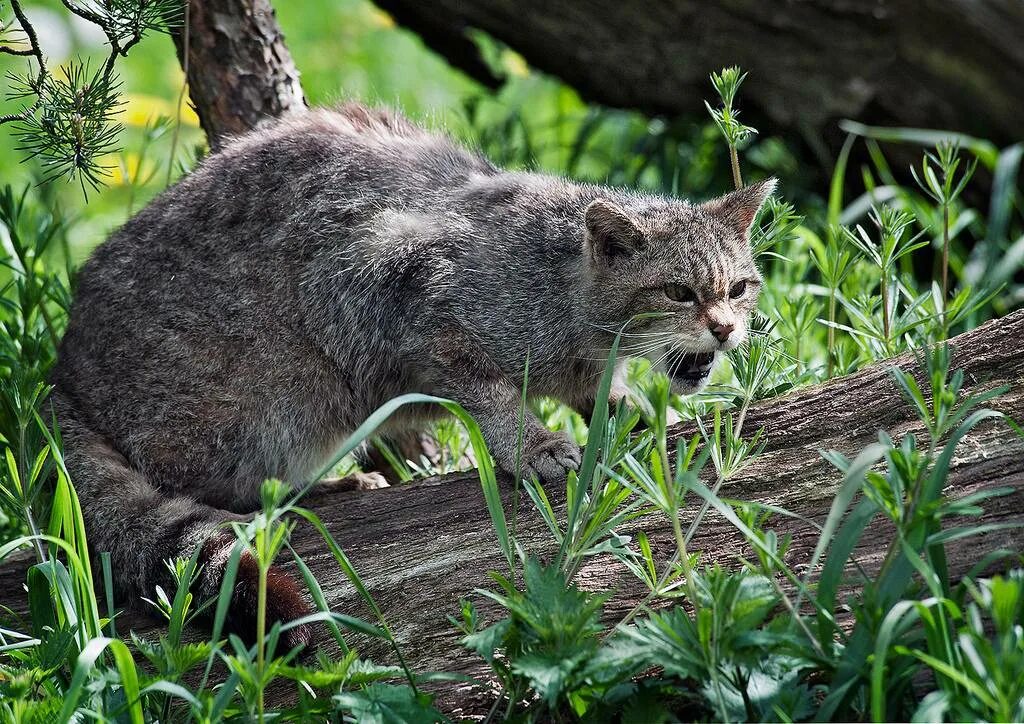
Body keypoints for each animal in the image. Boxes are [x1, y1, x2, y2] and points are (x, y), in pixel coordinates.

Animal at [49, 101, 770, 639]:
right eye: (678, 292)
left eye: (739, 288)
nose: (725, 328)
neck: (569, 302)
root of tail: (61, 374)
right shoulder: (399, 292)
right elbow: (490, 396)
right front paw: (533, 443)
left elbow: (597, 391)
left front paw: (626, 408)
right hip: (291, 394)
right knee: (218, 487)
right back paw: (319, 487)